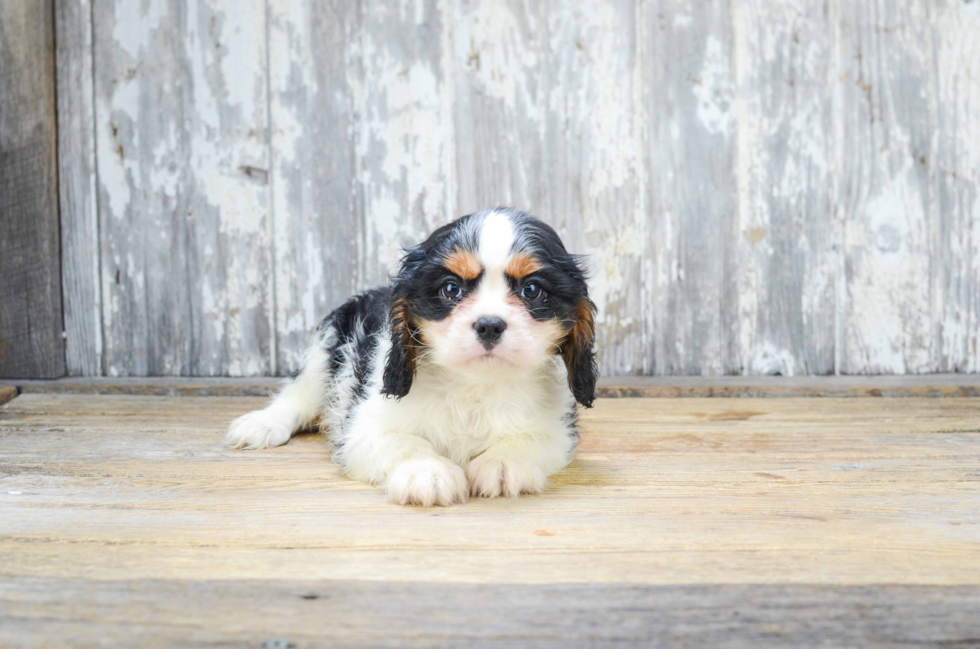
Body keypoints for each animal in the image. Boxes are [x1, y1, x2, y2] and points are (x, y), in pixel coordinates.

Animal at [226, 209, 596, 506]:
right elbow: (405, 441)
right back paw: (263, 424)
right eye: (451, 288)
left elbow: (526, 439)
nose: (489, 325)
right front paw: (428, 472)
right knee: (297, 396)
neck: (474, 386)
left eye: (532, 290)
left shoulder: (556, 429)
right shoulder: (365, 427)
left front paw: (503, 464)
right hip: (325, 348)